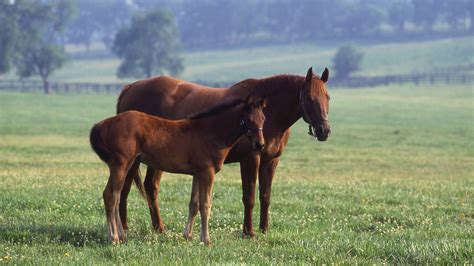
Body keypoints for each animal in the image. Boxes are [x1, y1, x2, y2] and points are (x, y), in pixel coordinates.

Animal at [89, 96, 266, 244]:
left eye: (263, 119)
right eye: (248, 119)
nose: (260, 145)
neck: (210, 133)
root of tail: (103, 124)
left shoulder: (197, 174)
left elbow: (194, 204)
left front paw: (188, 236)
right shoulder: (207, 173)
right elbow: (205, 205)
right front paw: (206, 240)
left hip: (125, 166)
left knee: (116, 196)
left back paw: (120, 235)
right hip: (120, 165)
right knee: (110, 196)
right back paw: (114, 238)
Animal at [117, 67, 332, 237]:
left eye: (328, 97)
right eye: (309, 98)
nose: (324, 131)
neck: (266, 114)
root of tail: (131, 87)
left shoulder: (271, 161)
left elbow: (265, 196)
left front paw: (264, 229)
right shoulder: (250, 160)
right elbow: (249, 197)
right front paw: (249, 232)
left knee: (150, 187)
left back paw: (159, 228)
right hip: (135, 160)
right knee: (125, 188)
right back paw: (125, 228)